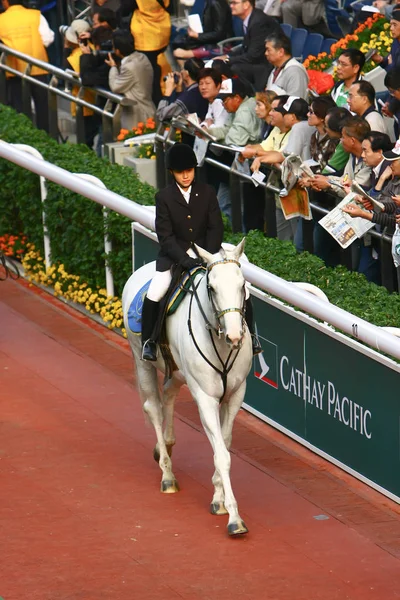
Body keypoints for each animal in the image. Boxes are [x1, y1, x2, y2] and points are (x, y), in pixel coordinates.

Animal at [122, 238, 253, 536]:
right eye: (212, 288)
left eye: (242, 285)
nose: (234, 336)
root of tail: (142, 270)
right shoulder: (205, 397)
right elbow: (222, 455)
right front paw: (234, 517)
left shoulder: (236, 394)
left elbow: (224, 444)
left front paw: (218, 499)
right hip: (142, 359)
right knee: (154, 407)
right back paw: (167, 474)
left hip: (179, 372)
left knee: (169, 393)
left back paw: (166, 446)